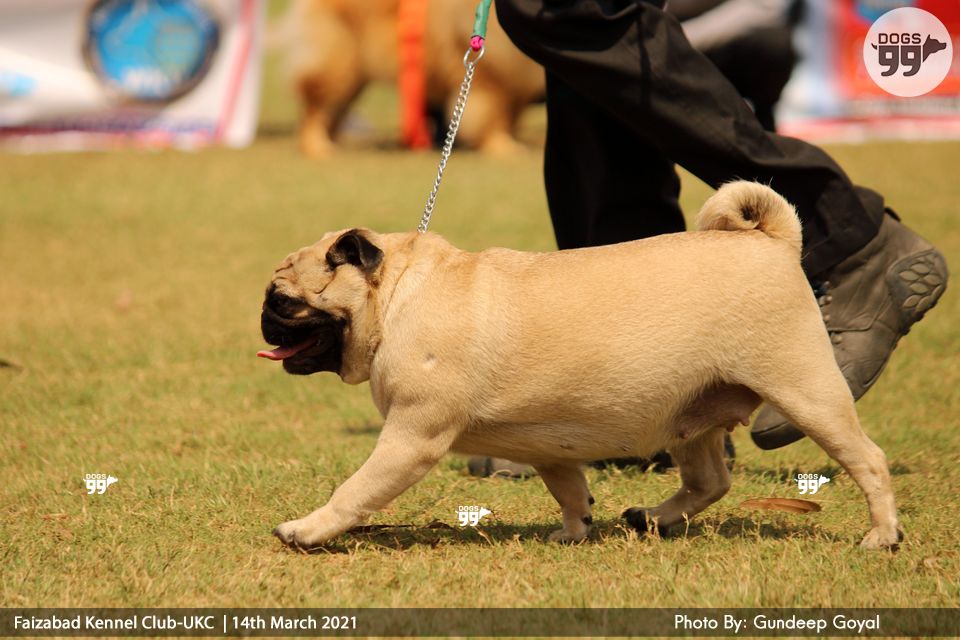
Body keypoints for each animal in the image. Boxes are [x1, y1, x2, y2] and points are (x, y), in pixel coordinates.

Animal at [258, 181, 901, 550]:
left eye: (284, 301)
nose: (261, 318)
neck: (397, 293)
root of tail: (771, 242)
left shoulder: (411, 437)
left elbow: (356, 491)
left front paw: (306, 531)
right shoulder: (545, 446)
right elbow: (569, 489)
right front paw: (573, 531)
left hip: (807, 393)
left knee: (868, 460)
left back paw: (882, 536)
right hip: (691, 417)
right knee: (710, 482)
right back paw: (653, 518)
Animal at [275, 0, 544, 157]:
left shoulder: (514, 80)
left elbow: (510, 117)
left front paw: (511, 141)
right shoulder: (490, 80)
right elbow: (492, 119)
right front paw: (502, 147)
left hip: (351, 79)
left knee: (333, 113)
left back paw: (333, 143)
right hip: (339, 67)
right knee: (313, 109)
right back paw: (317, 147)